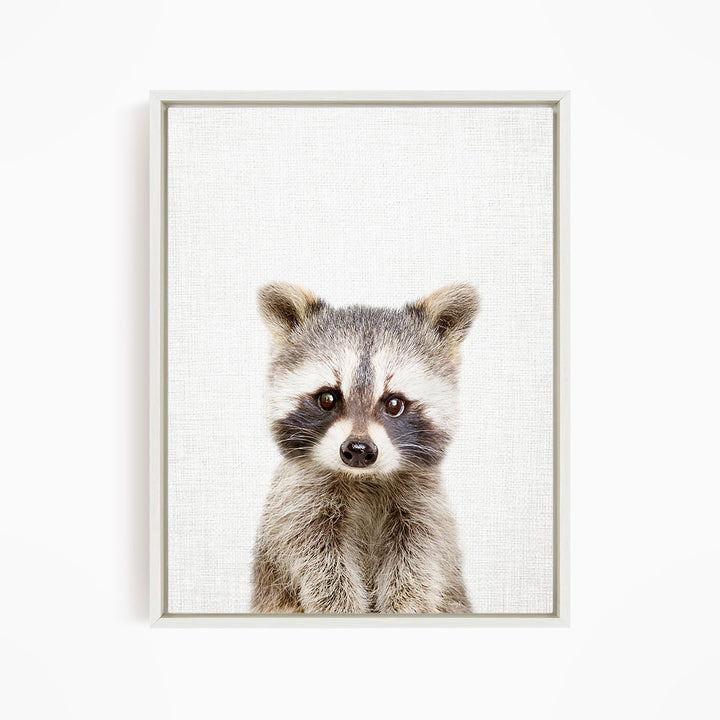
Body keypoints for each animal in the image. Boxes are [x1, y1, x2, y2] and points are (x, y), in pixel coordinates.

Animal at [250, 282, 479, 614]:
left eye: (394, 403)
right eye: (327, 398)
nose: (358, 449)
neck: (364, 478)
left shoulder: (424, 507)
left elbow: (420, 560)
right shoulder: (297, 503)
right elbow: (318, 563)